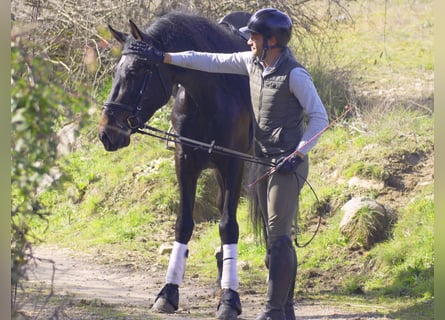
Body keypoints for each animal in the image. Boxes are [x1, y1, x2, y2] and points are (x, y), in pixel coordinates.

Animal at [97, 11, 253, 318]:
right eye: (117, 72)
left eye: (134, 72)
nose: (106, 133)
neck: (210, 97)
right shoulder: (184, 162)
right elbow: (183, 224)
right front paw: (169, 292)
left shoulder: (233, 164)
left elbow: (229, 226)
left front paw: (230, 298)